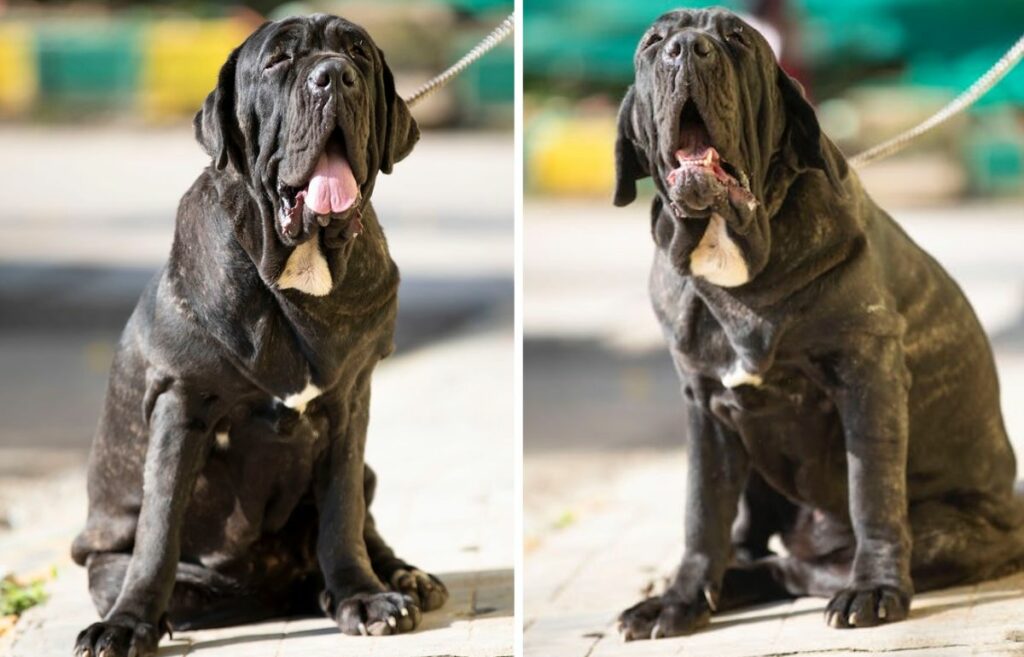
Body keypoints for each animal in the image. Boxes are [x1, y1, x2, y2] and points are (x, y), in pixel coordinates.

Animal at [72, 15, 448, 654]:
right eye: (278, 62)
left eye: (357, 54)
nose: (334, 77)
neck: (299, 265)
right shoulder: (181, 404)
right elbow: (159, 527)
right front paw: (127, 624)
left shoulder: (350, 401)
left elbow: (342, 510)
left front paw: (361, 596)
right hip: (109, 557)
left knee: (359, 520)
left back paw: (398, 579)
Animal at [614, 6, 1024, 638]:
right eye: (655, 41)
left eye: (736, 38)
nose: (687, 48)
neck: (731, 252)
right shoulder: (704, 404)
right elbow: (702, 512)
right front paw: (680, 600)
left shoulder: (868, 378)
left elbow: (871, 491)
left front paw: (875, 588)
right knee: (756, 546)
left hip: (947, 530)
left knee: (807, 565)